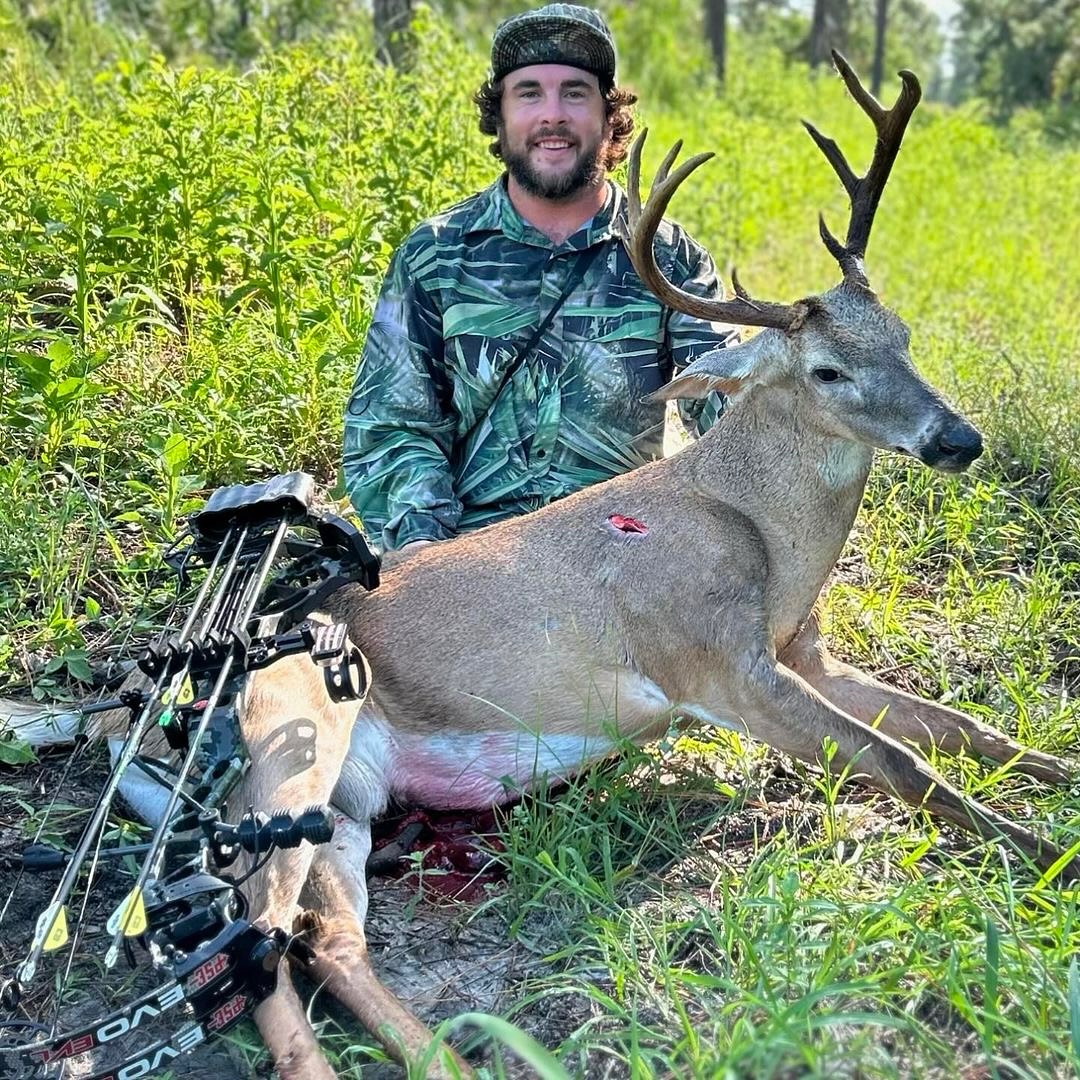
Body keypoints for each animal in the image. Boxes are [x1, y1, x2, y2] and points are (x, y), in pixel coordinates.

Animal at [5, 53, 1077, 1079]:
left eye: (905, 337)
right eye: (827, 370)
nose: (957, 440)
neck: (763, 537)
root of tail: (121, 706)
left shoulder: (803, 652)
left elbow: (968, 731)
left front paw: (1057, 782)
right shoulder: (713, 663)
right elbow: (901, 764)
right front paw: (1046, 853)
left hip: (346, 802)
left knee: (323, 934)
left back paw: (454, 1060)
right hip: (284, 745)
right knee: (251, 943)